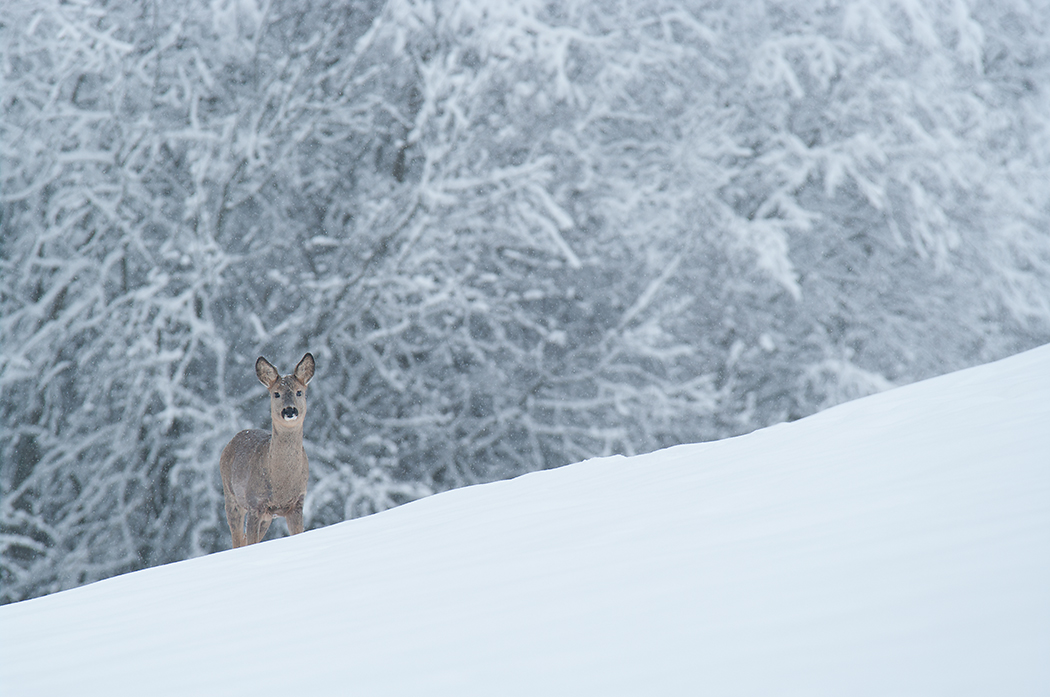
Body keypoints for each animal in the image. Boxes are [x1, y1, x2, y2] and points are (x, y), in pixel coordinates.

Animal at [221, 350, 315, 545]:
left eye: (299, 392)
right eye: (276, 393)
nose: (289, 410)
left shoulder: (297, 504)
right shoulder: (255, 503)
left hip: (266, 517)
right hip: (232, 497)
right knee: (238, 540)